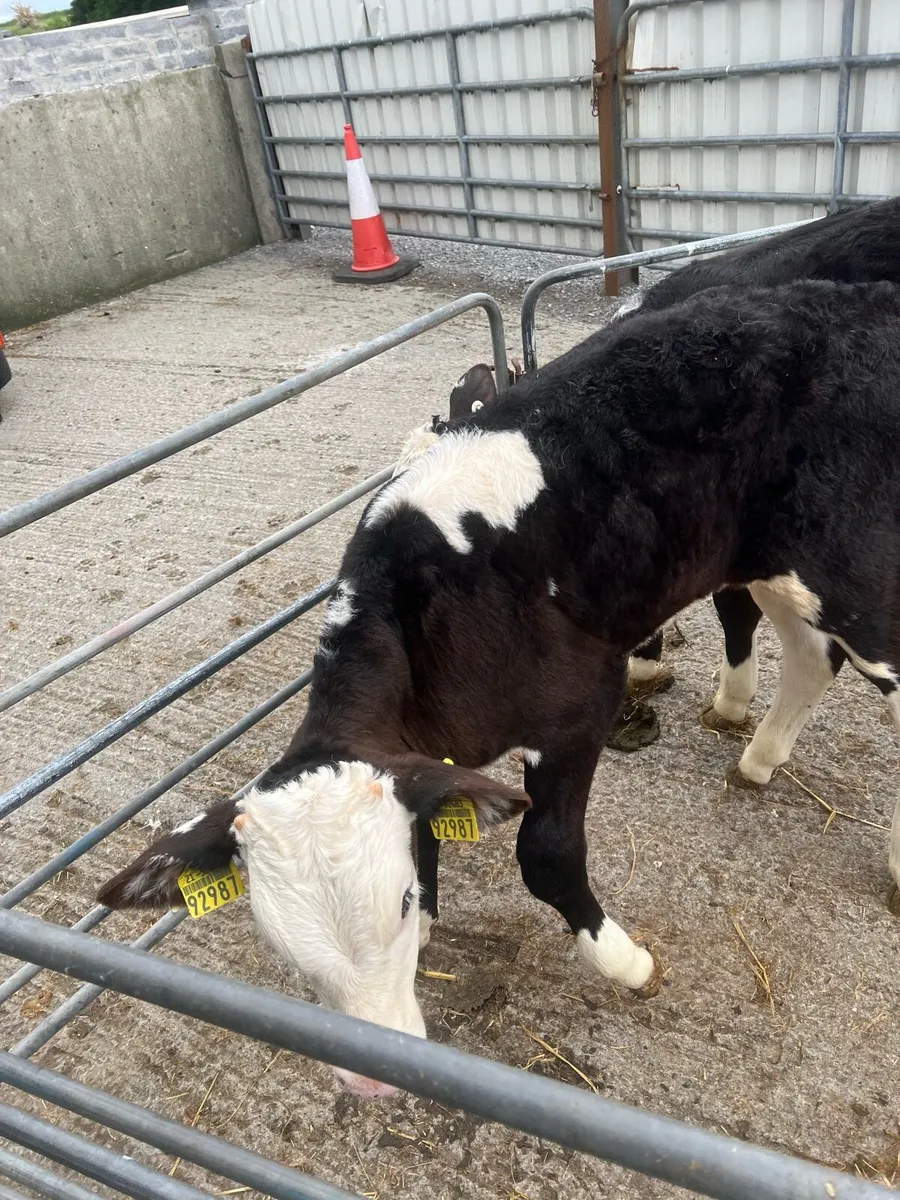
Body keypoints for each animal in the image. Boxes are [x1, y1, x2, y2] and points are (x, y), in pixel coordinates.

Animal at [98, 280, 900, 1101]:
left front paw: (626, 962)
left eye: (398, 901)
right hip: (779, 566)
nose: (372, 1078)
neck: (427, 610)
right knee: (811, 654)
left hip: (860, 572)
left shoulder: (577, 707)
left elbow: (546, 853)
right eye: (277, 938)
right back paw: (759, 758)